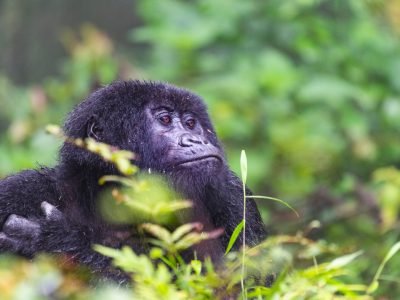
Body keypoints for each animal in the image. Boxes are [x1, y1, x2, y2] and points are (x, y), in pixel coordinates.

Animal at [0, 80, 266, 282]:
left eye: (191, 123)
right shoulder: (19, 189)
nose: (196, 140)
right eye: (165, 119)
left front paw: (55, 239)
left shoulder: (236, 199)